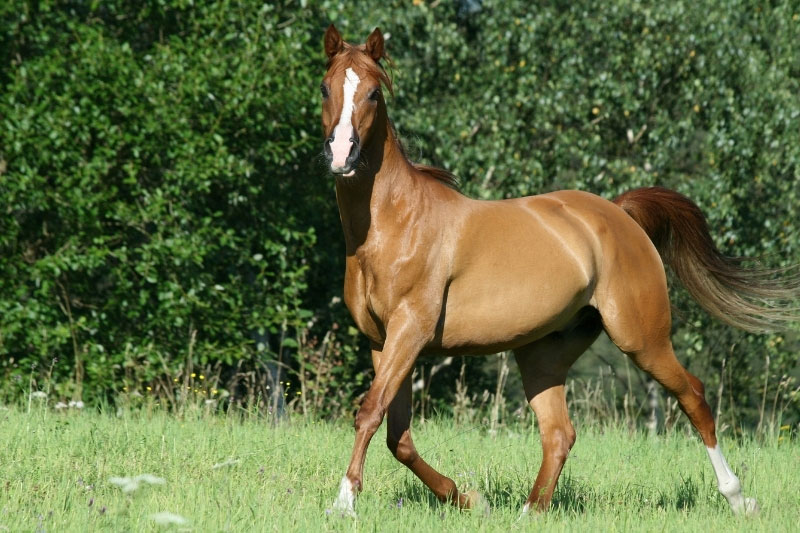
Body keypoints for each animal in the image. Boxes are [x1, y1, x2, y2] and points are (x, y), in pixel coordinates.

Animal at [320, 24, 798, 517]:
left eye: (374, 93)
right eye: (326, 88)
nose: (341, 155)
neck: (395, 223)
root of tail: (620, 214)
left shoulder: (410, 331)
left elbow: (370, 412)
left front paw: (343, 503)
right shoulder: (383, 342)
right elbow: (398, 436)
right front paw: (468, 498)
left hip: (642, 339)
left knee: (694, 397)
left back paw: (738, 498)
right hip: (543, 353)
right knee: (558, 433)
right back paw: (529, 511)